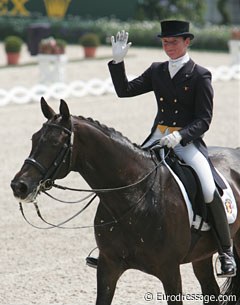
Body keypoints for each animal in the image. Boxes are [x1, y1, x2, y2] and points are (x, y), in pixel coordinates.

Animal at [10, 98, 240, 304]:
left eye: (55, 143)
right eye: (33, 139)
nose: (19, 186)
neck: (134, 198)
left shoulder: (170, 271)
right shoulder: (108, 267)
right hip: (201, 256)